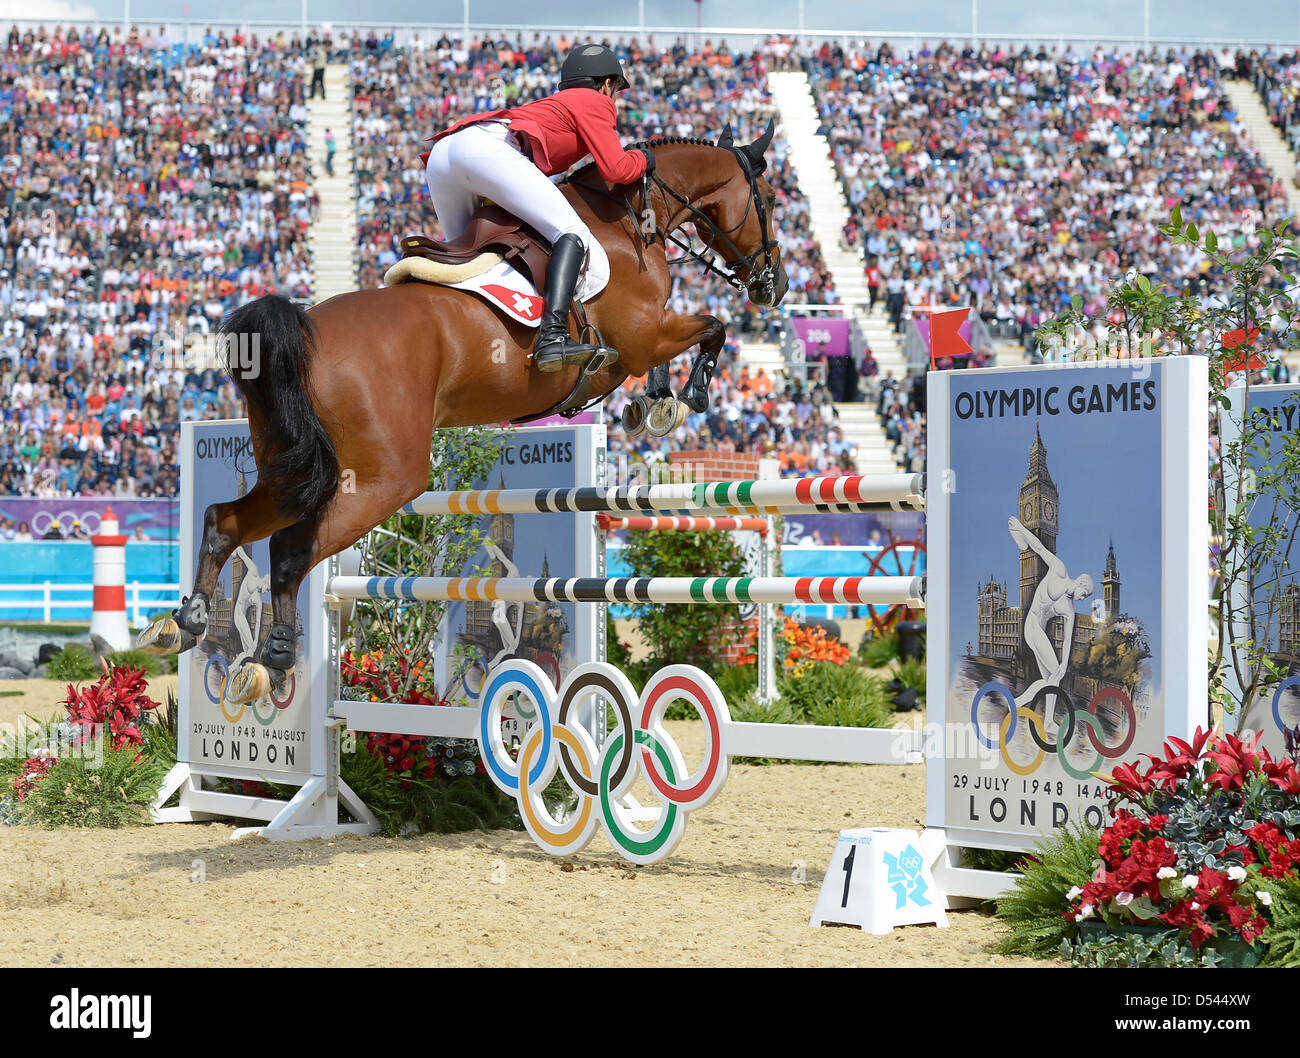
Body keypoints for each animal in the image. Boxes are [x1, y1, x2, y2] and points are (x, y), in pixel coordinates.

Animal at [142, 122, 790, 701]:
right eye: (770, 199)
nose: (774, 284)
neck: (630, 219)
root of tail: (301, 332)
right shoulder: (639, 339)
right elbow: (710, 327)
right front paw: (681, 399)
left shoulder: (642, 342)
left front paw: (654, 404)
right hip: (382, 478)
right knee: (289, 550)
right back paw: (272, 658)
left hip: (296, 467)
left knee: (225, 521)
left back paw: (187, 621)